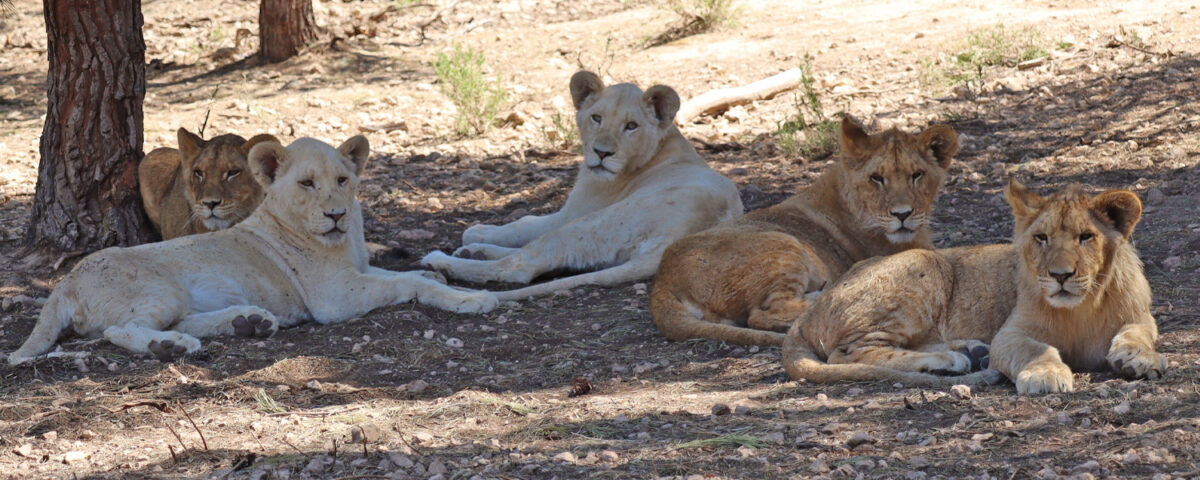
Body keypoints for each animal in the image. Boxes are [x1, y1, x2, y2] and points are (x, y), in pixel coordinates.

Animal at [420, 71, 743, 301]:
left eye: (631, 126)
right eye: (596, 118)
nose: (601, 153)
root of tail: (679, 240)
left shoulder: (577, 210)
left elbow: (524, 224)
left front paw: (475, 231)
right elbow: (525, 225)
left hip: (596, 222)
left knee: (520, 265)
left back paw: (443, 261)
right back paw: (472, 252)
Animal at [649, 116, 959, 346]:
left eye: (917, 175)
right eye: (876, 178)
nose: (903, 215)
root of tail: (663, 281)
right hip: (783, 244)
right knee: (762, 314)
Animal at [782, 180, 1166, 393]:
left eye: (1086, 237)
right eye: (1041, 238)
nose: (1060, 275)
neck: (1083, 306)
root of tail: (806, 314)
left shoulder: (1139, 315)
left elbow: (1140, 332)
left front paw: (1138, 357)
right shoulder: (1010, 334)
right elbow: (1036, 349)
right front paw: (1045, 375)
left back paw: (971, 352)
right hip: (926, 263)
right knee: (849, 352)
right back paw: (950, 359)